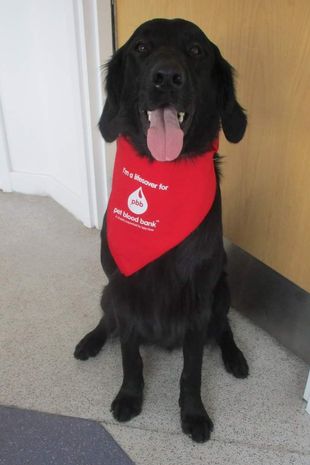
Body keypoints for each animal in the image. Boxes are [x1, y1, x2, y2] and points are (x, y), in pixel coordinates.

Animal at [75, 19, 249, 442]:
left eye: (197, 51)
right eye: (141, 48)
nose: (167, 77)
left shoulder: (199, 301)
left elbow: (192, 371)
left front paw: (194, 414)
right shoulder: (124, 289)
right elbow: (130, 357)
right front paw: (129, 396)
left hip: (222, 291)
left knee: (224, 329)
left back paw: (235, 357)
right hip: (108, 292)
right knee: (106, 322)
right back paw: (90, 341)